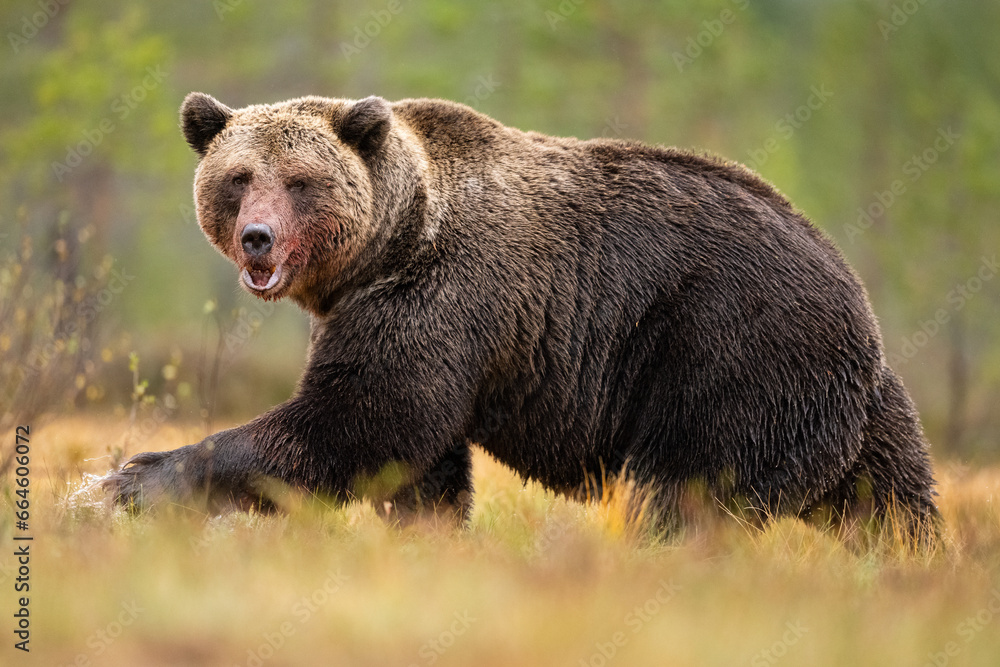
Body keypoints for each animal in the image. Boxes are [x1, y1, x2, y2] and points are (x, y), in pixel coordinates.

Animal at [105, 91, 940, 536]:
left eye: (301, 181)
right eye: (239, 177)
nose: (258, 236)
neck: (385, 250)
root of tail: (856, 295)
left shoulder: (437, 301)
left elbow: (356, 423)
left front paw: (129, 479)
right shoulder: (403, 323)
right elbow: (418, 463)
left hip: (732, 349)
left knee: (689, 491)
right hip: (865, 408)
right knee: (888, 500)